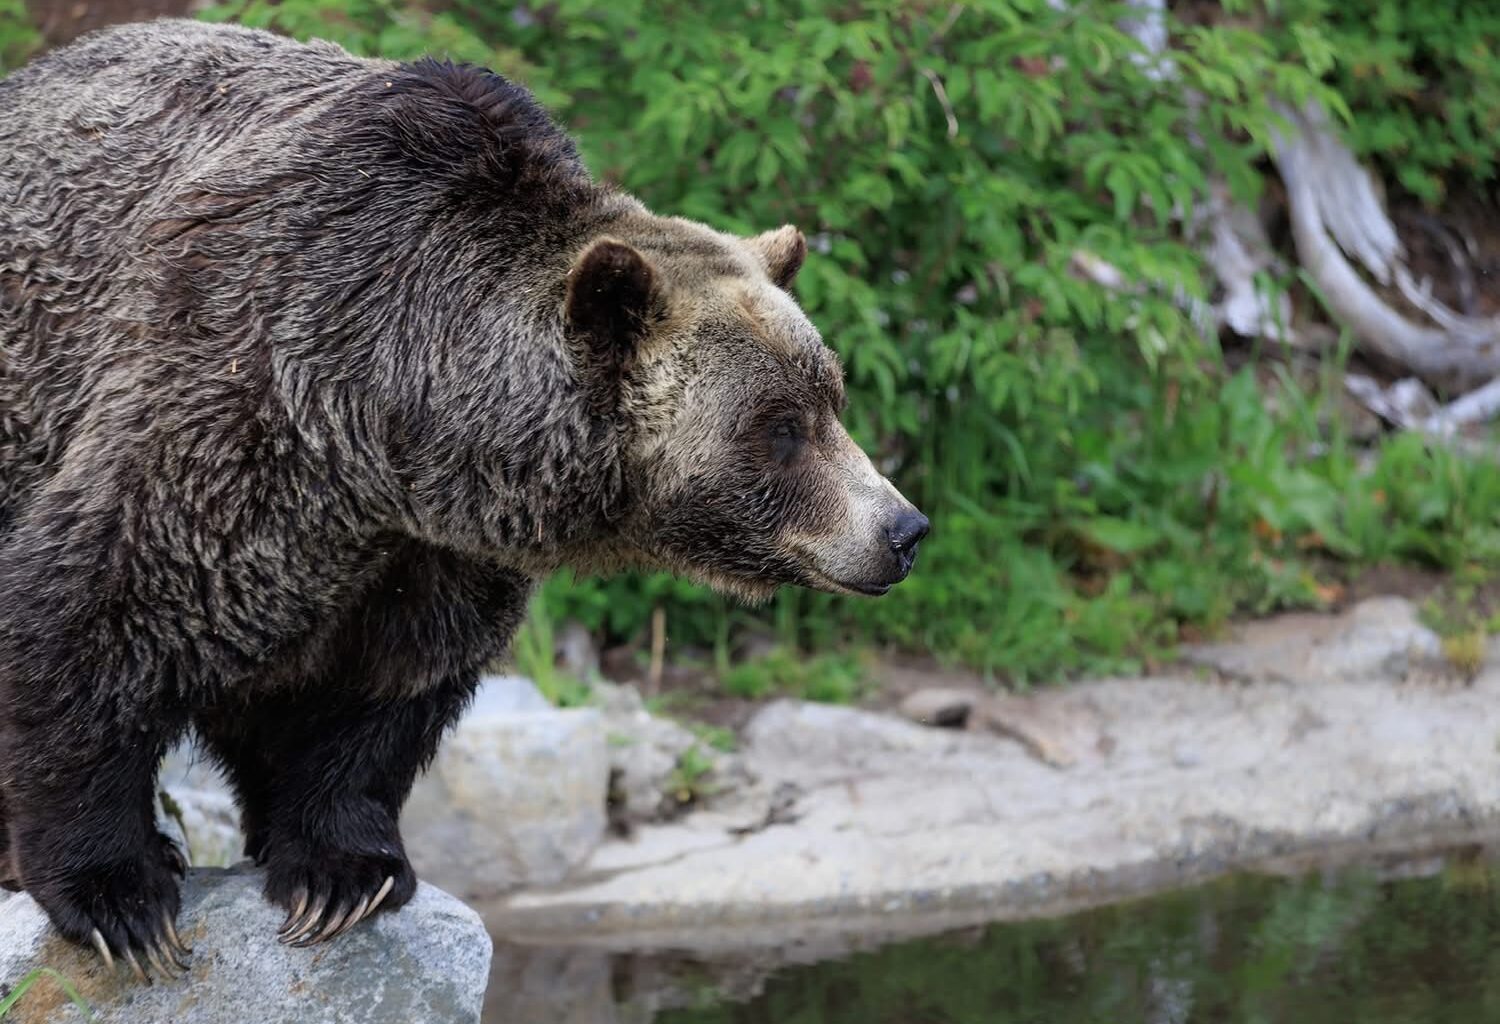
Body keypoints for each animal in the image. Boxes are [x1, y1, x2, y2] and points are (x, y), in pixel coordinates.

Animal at [0, 18, 927, 981]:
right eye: (780, 425)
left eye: (831, 397)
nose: (902, 528)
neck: (392, 431)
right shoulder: (233, 403)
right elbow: (96, 615)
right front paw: (122, 896)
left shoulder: (431, 553)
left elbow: (385, 692)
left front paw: (342, 873)